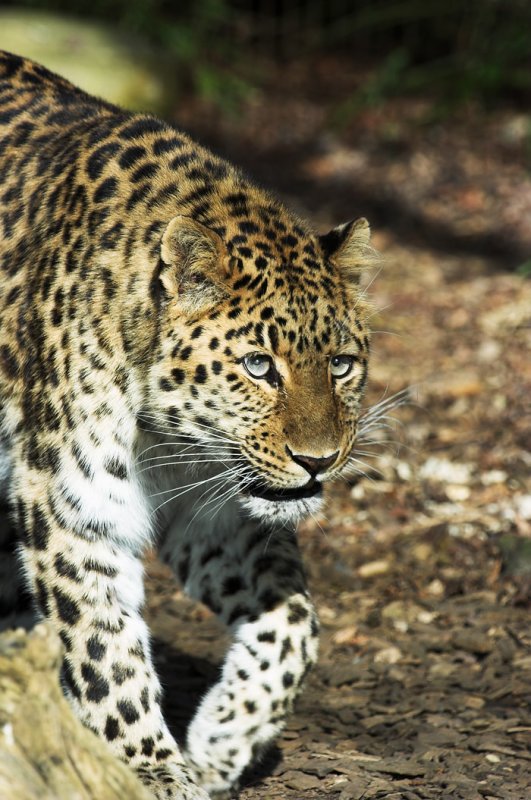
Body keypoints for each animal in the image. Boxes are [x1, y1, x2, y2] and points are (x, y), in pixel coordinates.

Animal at [0, 51, 374, 800]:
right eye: (258, 366)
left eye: (342, 365)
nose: (319, 460)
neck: (170, 436)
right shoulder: (75, 511)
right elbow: (104, 648)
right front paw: (152, 767)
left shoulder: (216, 512)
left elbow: (295, 623)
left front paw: (222, 741)